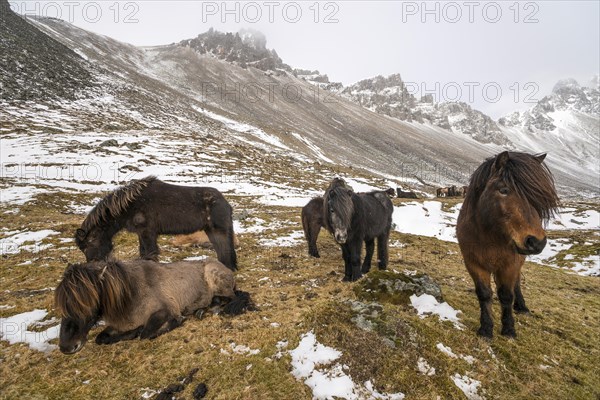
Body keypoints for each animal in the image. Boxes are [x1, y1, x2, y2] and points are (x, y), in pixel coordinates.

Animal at [55, 258, 252, 354]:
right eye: (63, 306)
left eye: (85, 303)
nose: (66, 347)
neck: (130, 295)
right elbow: (101, 338)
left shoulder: (164, 311)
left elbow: (146, 333)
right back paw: (201, 310)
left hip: (216, 279)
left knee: (229, 298)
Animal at [77, 177, 239, 270]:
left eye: (87, 245)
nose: (93, 264)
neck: (129, 205)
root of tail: (226, 203)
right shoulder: (142, 234)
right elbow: (143, 254)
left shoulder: (148, 233)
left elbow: (150, 254)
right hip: (211, 232)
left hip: (219, 232)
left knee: (226, 254)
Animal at [458, 152, 560, 340]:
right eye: (503, 190)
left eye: (536, 197)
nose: (537, 242)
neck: (489, 236)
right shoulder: (473, 263)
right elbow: (484, 294)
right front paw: (485, 329)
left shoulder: (509, 265)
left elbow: (506, 295)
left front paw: (509, 330)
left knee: (517, 283)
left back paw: (521, 307)